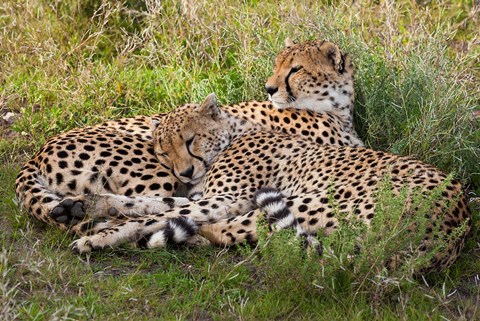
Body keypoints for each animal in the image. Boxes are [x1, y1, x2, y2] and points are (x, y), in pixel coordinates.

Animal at [14, 40, 360, 234]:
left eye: (295, 69)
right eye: (276, 65)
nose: (270, 88)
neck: (335, 106)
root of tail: (39, 152)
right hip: (154, 173)